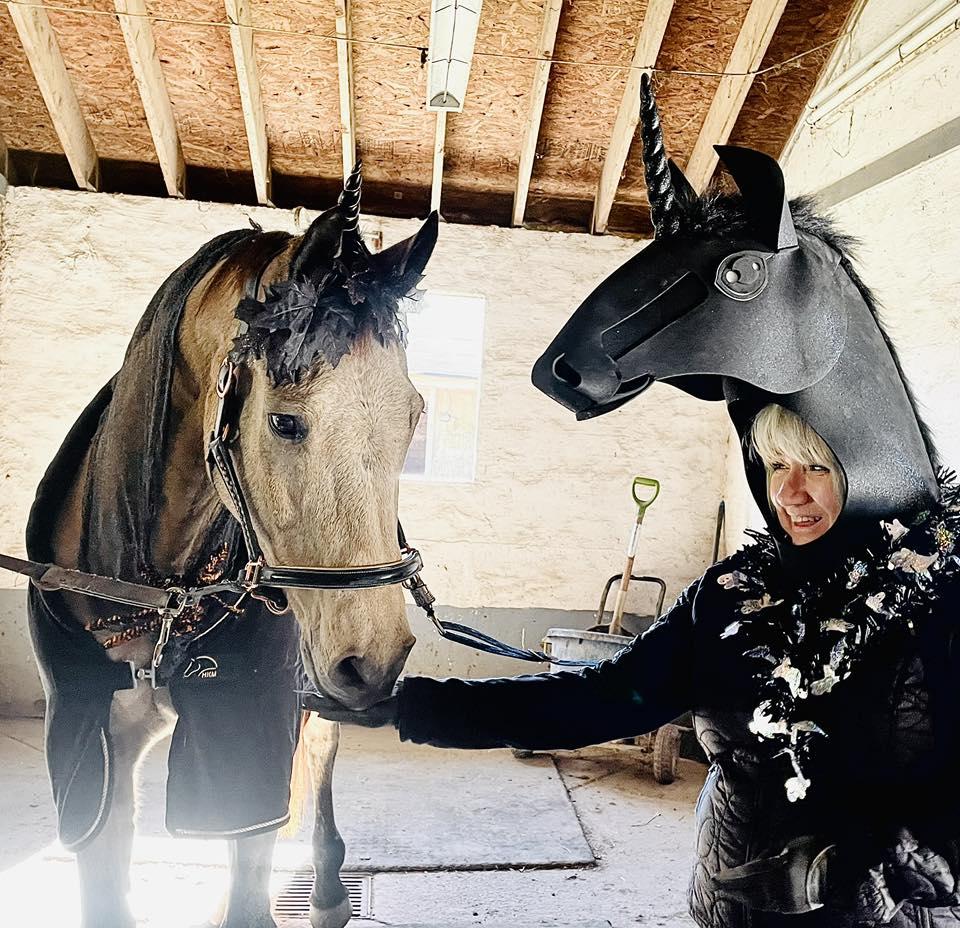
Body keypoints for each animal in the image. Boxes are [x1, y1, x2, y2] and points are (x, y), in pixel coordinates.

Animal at [23, 165, 438, 928]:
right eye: (284, 422)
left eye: (413, 417)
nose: (374, 659)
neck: (157, 590)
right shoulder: (88, 743)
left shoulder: (246, 735)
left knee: (321, 749)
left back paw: (327, 890)